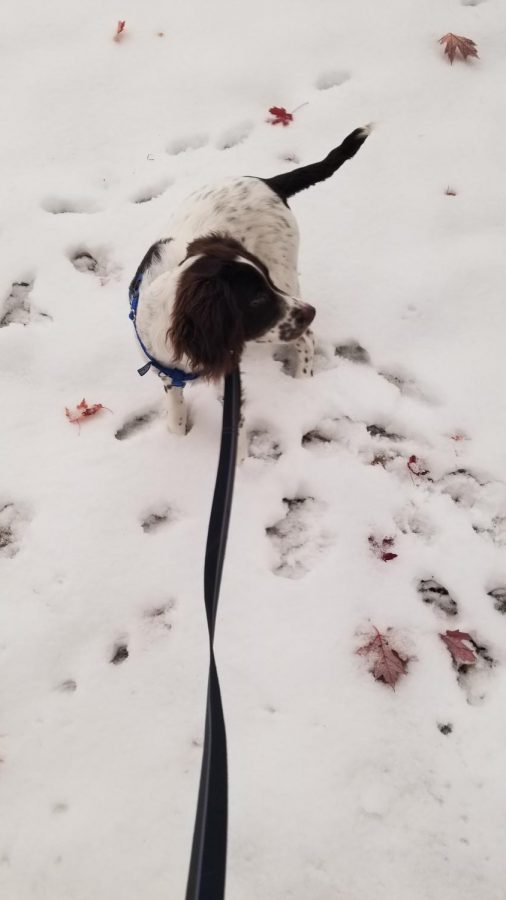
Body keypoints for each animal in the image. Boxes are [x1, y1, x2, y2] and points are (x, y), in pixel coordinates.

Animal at [128, 123, 370, 458]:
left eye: (263, 288)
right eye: (256, 299)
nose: (311, 312)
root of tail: (269, 182)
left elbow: (235, 440)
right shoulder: (166, 371)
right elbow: (176, 416)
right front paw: (178, 442)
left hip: (285, 271)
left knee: (307, 338)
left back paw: (302, 383)